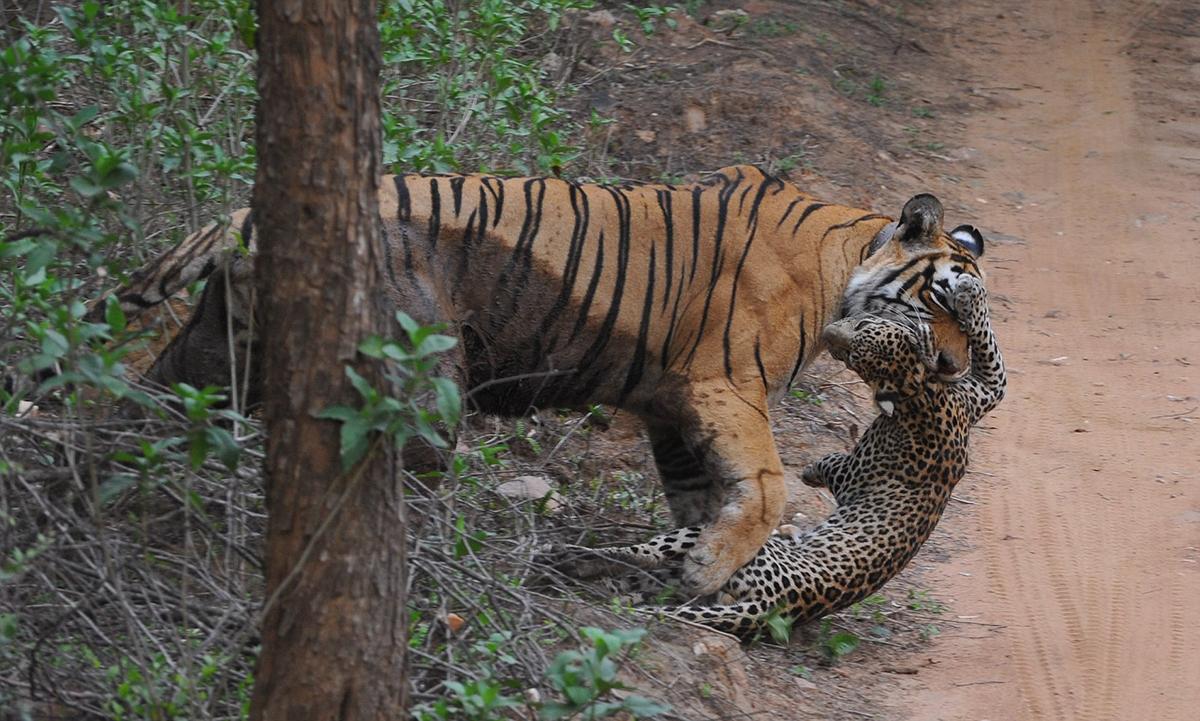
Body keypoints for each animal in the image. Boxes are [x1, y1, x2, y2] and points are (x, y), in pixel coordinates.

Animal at [87, 165, 984, 592]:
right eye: (940, 301)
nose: (949, 368)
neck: (843, 260)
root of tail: (244, 215)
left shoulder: (671, 408)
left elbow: (703, 499)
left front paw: (686, 575)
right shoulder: (724, 384)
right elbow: (764, 488)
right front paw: (707, 570)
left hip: (215, 358)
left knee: (142, 415)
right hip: (422, 382)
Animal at [549, 275, 1008, 633]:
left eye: (853, 353)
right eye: (858, 329)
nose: (829, 332)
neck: (921, 392)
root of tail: (777, 607)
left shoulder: (854, 473)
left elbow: (832, 464)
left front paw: (808, 472)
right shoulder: (984, 393)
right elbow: (990, 351)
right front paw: (970, 291)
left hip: (721, 544)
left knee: (650, 554)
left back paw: (573, 558)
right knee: (658, 579)